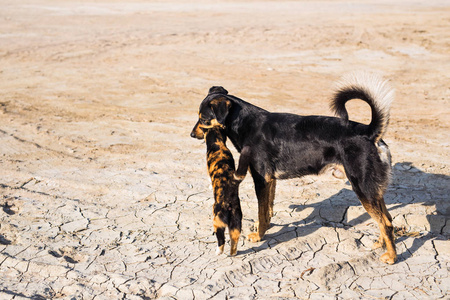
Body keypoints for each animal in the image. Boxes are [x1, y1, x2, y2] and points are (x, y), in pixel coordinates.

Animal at [197, 124, 251, 255]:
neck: (218, 142)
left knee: (221, 239)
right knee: (234, 241)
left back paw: (218, 252)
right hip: (236, 223)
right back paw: (232, 254)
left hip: (217, 220)